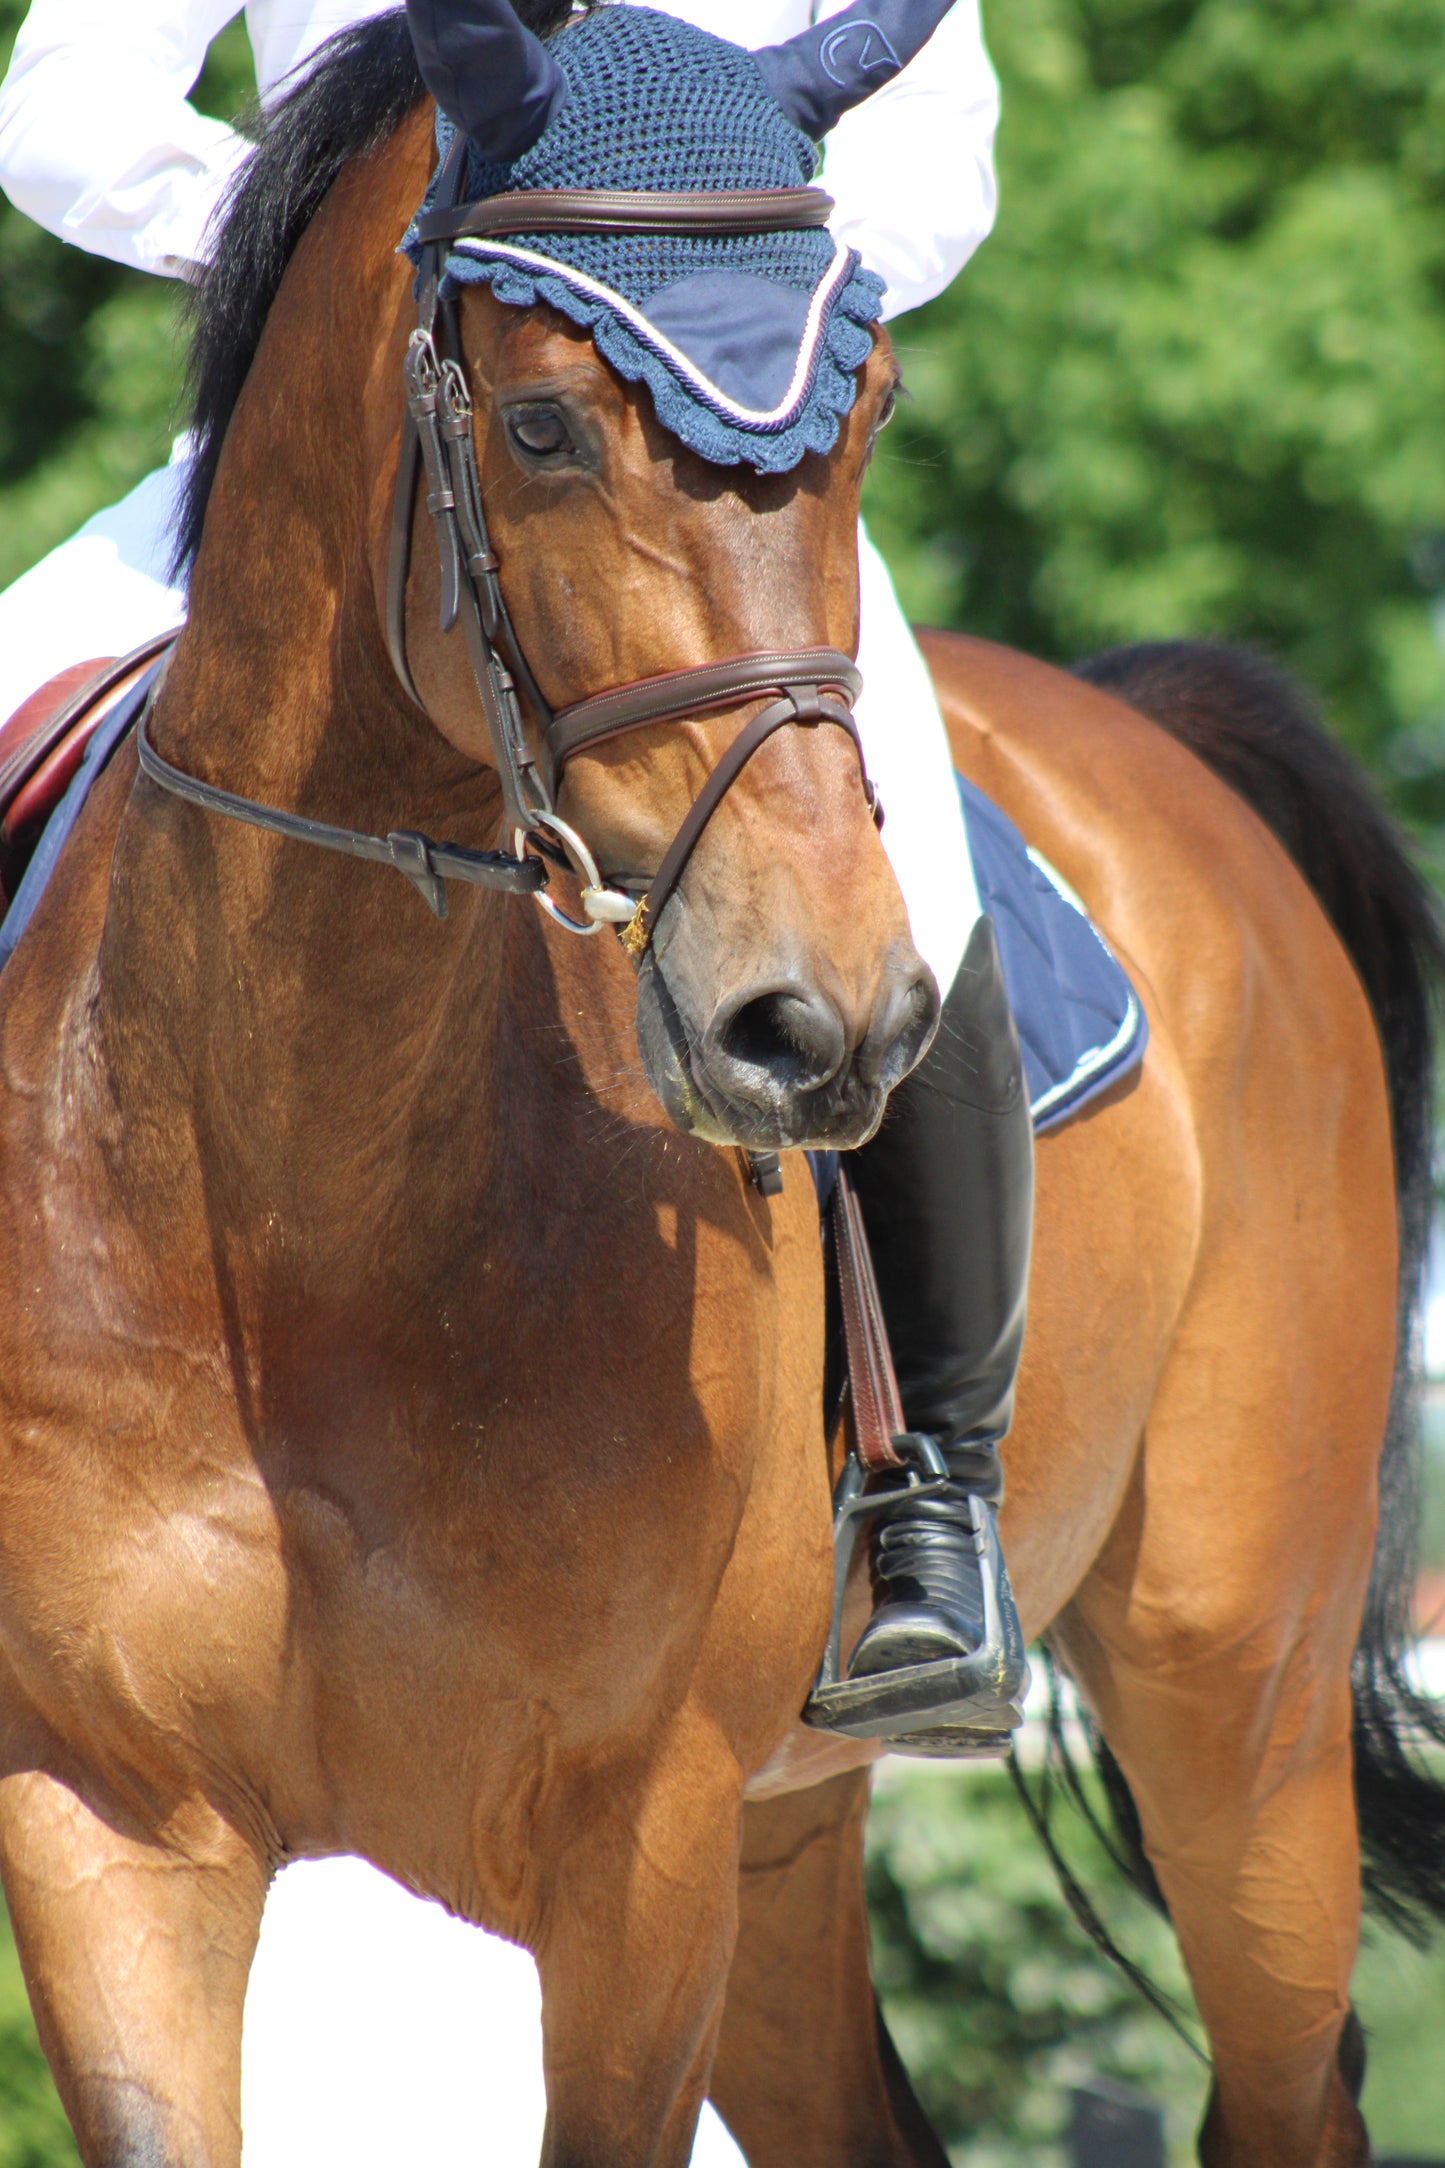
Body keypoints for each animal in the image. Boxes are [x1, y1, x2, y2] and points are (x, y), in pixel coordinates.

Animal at [0, 16, 1438, 2168]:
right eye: (536, 430)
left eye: (866, 414)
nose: (815, 1024)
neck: (295, 1190)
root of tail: (1149, 732)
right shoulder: (107, 1820)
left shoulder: (637, 1845)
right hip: (798, 1823)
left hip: (1235, 1708)